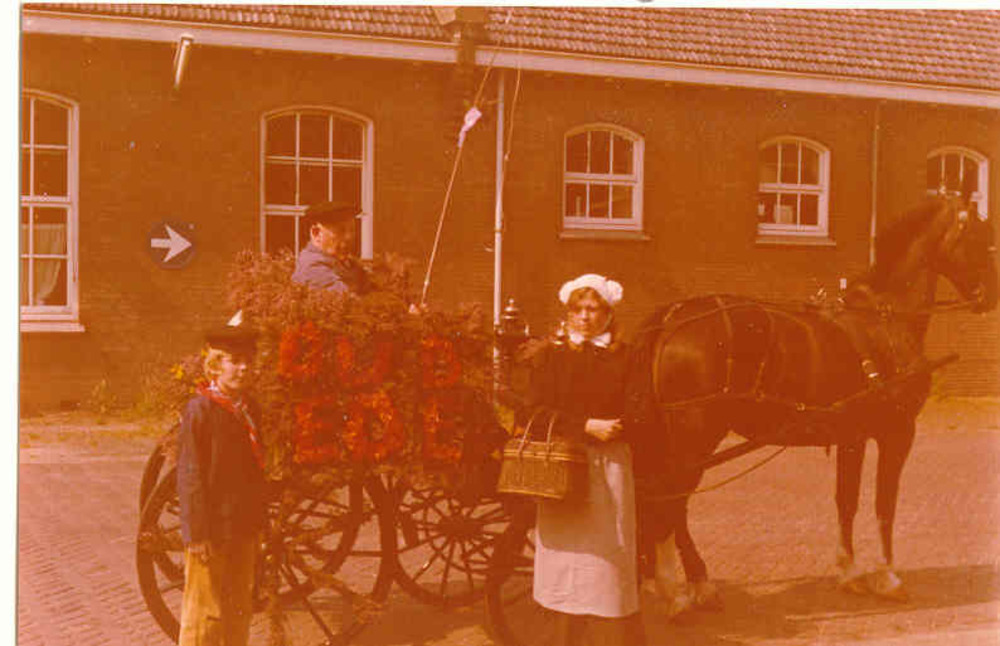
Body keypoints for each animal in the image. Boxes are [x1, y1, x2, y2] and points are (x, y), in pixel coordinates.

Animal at [626, 193, 998, 614]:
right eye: (980, 236)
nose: (992, 294)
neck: (884, 318)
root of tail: (673, 317)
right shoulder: (898, 432)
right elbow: (885, 505)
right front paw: (888, 577)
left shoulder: (853, 436)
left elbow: (846, 501)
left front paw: (849, 572)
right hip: (696, 437)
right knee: (670, 502)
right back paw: (679, 589)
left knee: (667, 503)